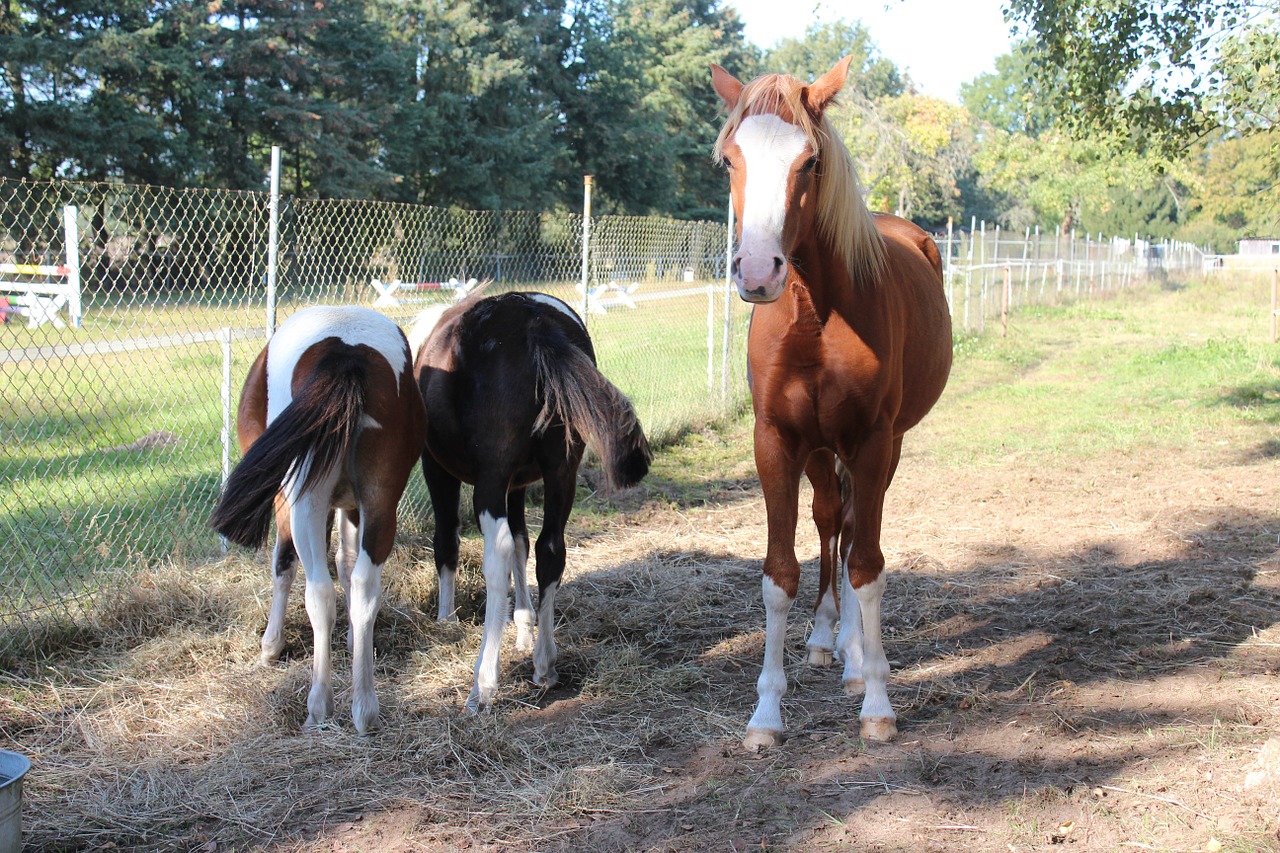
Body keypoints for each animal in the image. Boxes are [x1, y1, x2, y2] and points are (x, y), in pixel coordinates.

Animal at [209, 306, 427, 732]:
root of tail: (346, 350)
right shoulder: (352, 505)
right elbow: (346, 563)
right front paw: (355, 641)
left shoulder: (287, 500)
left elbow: (284, 565)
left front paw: (271, 646)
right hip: (380, 502)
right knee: (362, 586)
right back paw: (364, 708)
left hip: (304, 503)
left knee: (318, 592)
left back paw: (319, 705)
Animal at [409, 292, 650, 712]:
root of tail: (534, 320)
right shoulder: (519, 485)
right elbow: (523, 547)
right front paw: (523, 625)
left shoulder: (439, 470)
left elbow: (448, 543)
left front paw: (445, 620)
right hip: (561, 471)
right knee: (550, 549)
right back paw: (544, 663)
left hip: (490, 479)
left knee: (497, 553)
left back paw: (483, 683)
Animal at [711, 56, 952, 742]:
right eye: (729, 160)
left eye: (810, 161)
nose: (757, 271)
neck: (815, 314)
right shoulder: (776, 440)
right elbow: (779, 574)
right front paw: (765, 713)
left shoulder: (870, 441)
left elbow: (866, 565)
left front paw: (876, 701)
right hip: (820, 450)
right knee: (828, 521)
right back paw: (825, 640)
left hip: (884, 446)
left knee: (849, 531)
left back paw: (852, 653)